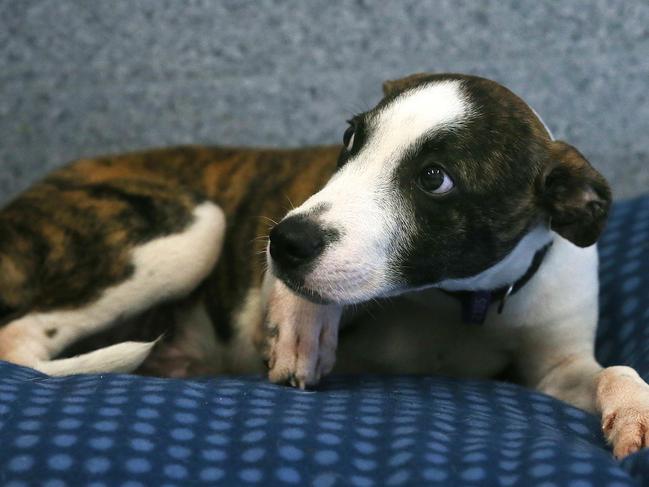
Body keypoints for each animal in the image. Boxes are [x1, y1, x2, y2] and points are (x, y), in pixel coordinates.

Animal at [1, 72, 648, 458]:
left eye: (434, 179)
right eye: (350, 139)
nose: (281, 241)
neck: (455, 298)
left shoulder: (555, 370)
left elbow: (611, 370)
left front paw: (634, 411)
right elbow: (298, 293)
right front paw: (302, 324)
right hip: (192, 229)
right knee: (19, 339)